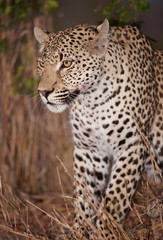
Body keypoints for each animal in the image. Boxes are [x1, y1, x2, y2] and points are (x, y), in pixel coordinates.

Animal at [33, 19, 162, 240]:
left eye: (67, 64)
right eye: (42, 64)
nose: (43, 92)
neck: (92, 101)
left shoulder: (132, 146)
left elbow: (116, 195)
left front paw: (105, 233)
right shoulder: (89, 150)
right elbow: (84, 197)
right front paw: (80, 231)